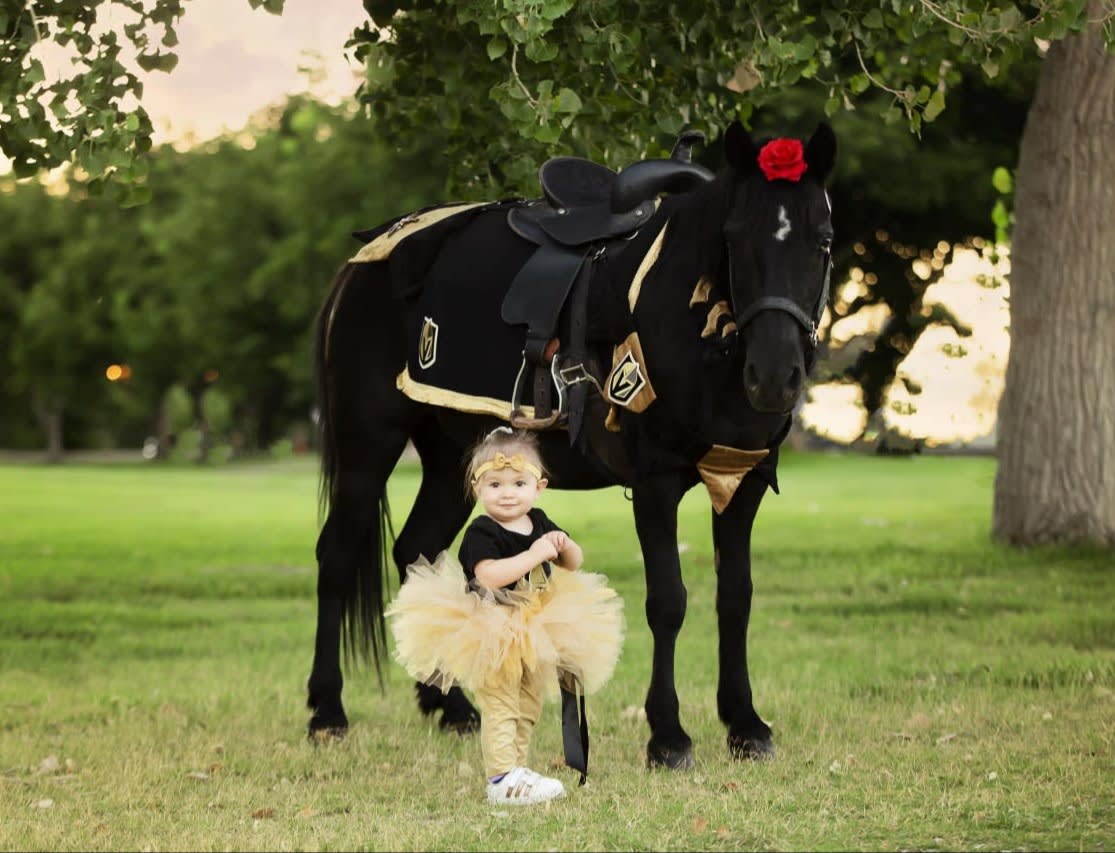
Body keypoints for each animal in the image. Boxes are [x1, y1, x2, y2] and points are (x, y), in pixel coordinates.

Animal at [307, 119, 836, 769]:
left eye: (824, 240)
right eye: (735, 237)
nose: (775, 375)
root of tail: (365, 259)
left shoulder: (742, 482)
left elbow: (735, 597)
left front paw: (745, 724)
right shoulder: (656, 484)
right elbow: (668, 601)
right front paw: (668, 736)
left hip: (453, 461)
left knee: (417, 551)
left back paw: (450, 705)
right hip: (366, 447)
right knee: (336, 557)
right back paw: (327, 711)